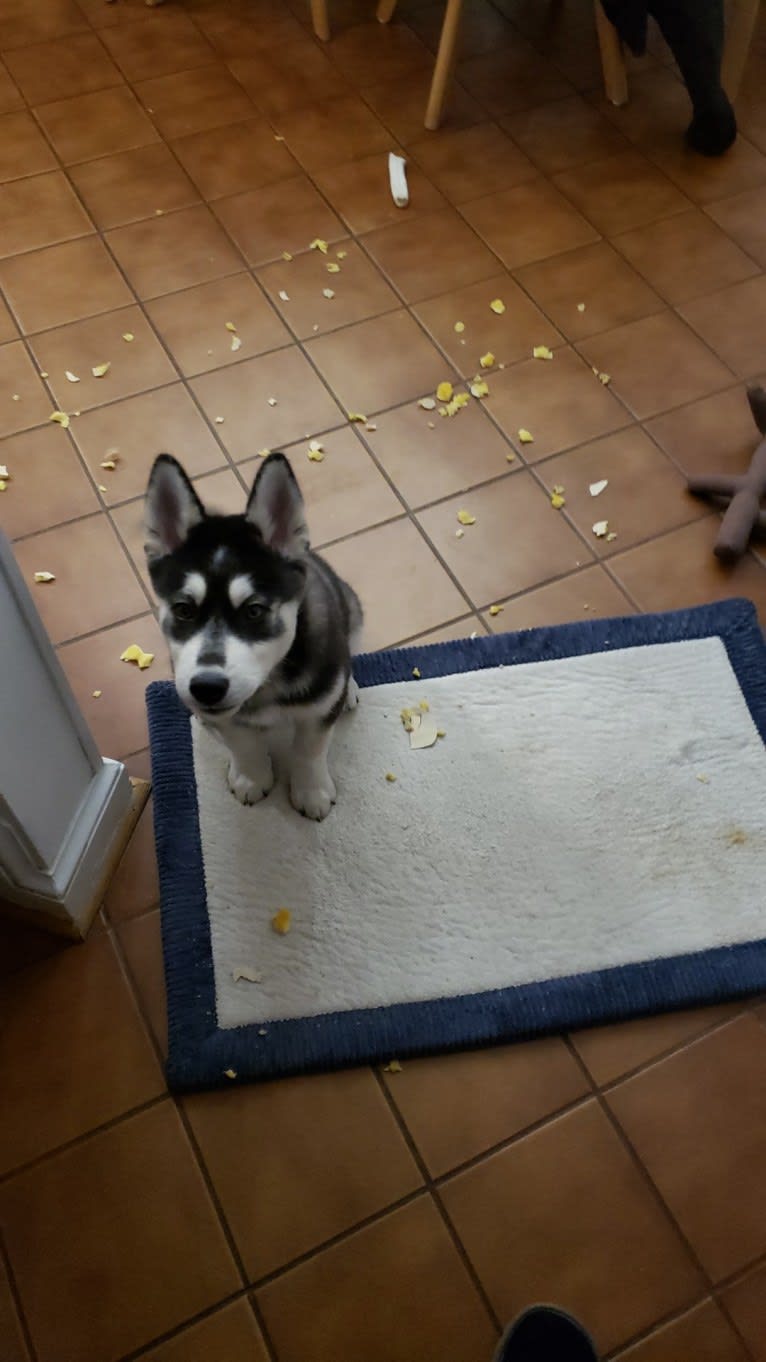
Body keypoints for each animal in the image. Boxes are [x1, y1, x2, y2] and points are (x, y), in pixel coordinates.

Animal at [144, 454, 362, 817]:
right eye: (184, 610)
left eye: (254, 610)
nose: (207, 687)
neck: (267, 684)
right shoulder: (225, 720)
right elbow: (243, 744)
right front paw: (251, 777)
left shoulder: (318, 711)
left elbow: (310, 749)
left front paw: (311, 791)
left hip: (353, 612)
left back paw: (352, 688)